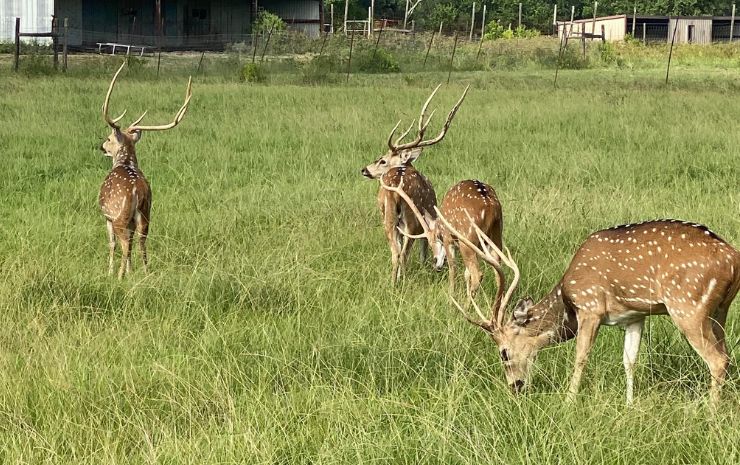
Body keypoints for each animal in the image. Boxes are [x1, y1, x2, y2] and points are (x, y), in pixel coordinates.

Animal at [97, 63, 192, 278]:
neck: (125, 163)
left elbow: (111, 244)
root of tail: (137, 191)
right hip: (145, 214)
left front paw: (110, 272)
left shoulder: (107, 216)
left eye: (109, 138)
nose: (101, 147)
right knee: (141, 242)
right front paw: (131, 271)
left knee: (125, 244)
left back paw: (119, 276)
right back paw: (146, 273)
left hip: (120, 216)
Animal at [362, 85, 472, 284]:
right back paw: (401, 280)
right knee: (402, 253)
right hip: (408, 219)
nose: (364, 170)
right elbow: (424, 250)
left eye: (382, 160)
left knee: (396, 253)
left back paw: (394, 282)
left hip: (389, 217)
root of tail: (394, 189)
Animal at [440, 216, 740, 404]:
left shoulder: (590, 306)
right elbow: (629, 360)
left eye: (503, 352)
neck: (567, 303)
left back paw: (711, 414)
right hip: (719, 311)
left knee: (717, 360)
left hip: (688, 306)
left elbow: (580, 356)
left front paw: (568, 401)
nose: (515, 387)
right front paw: (629, 405)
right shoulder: (635, 315)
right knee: (727, 354)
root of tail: (733, 259)